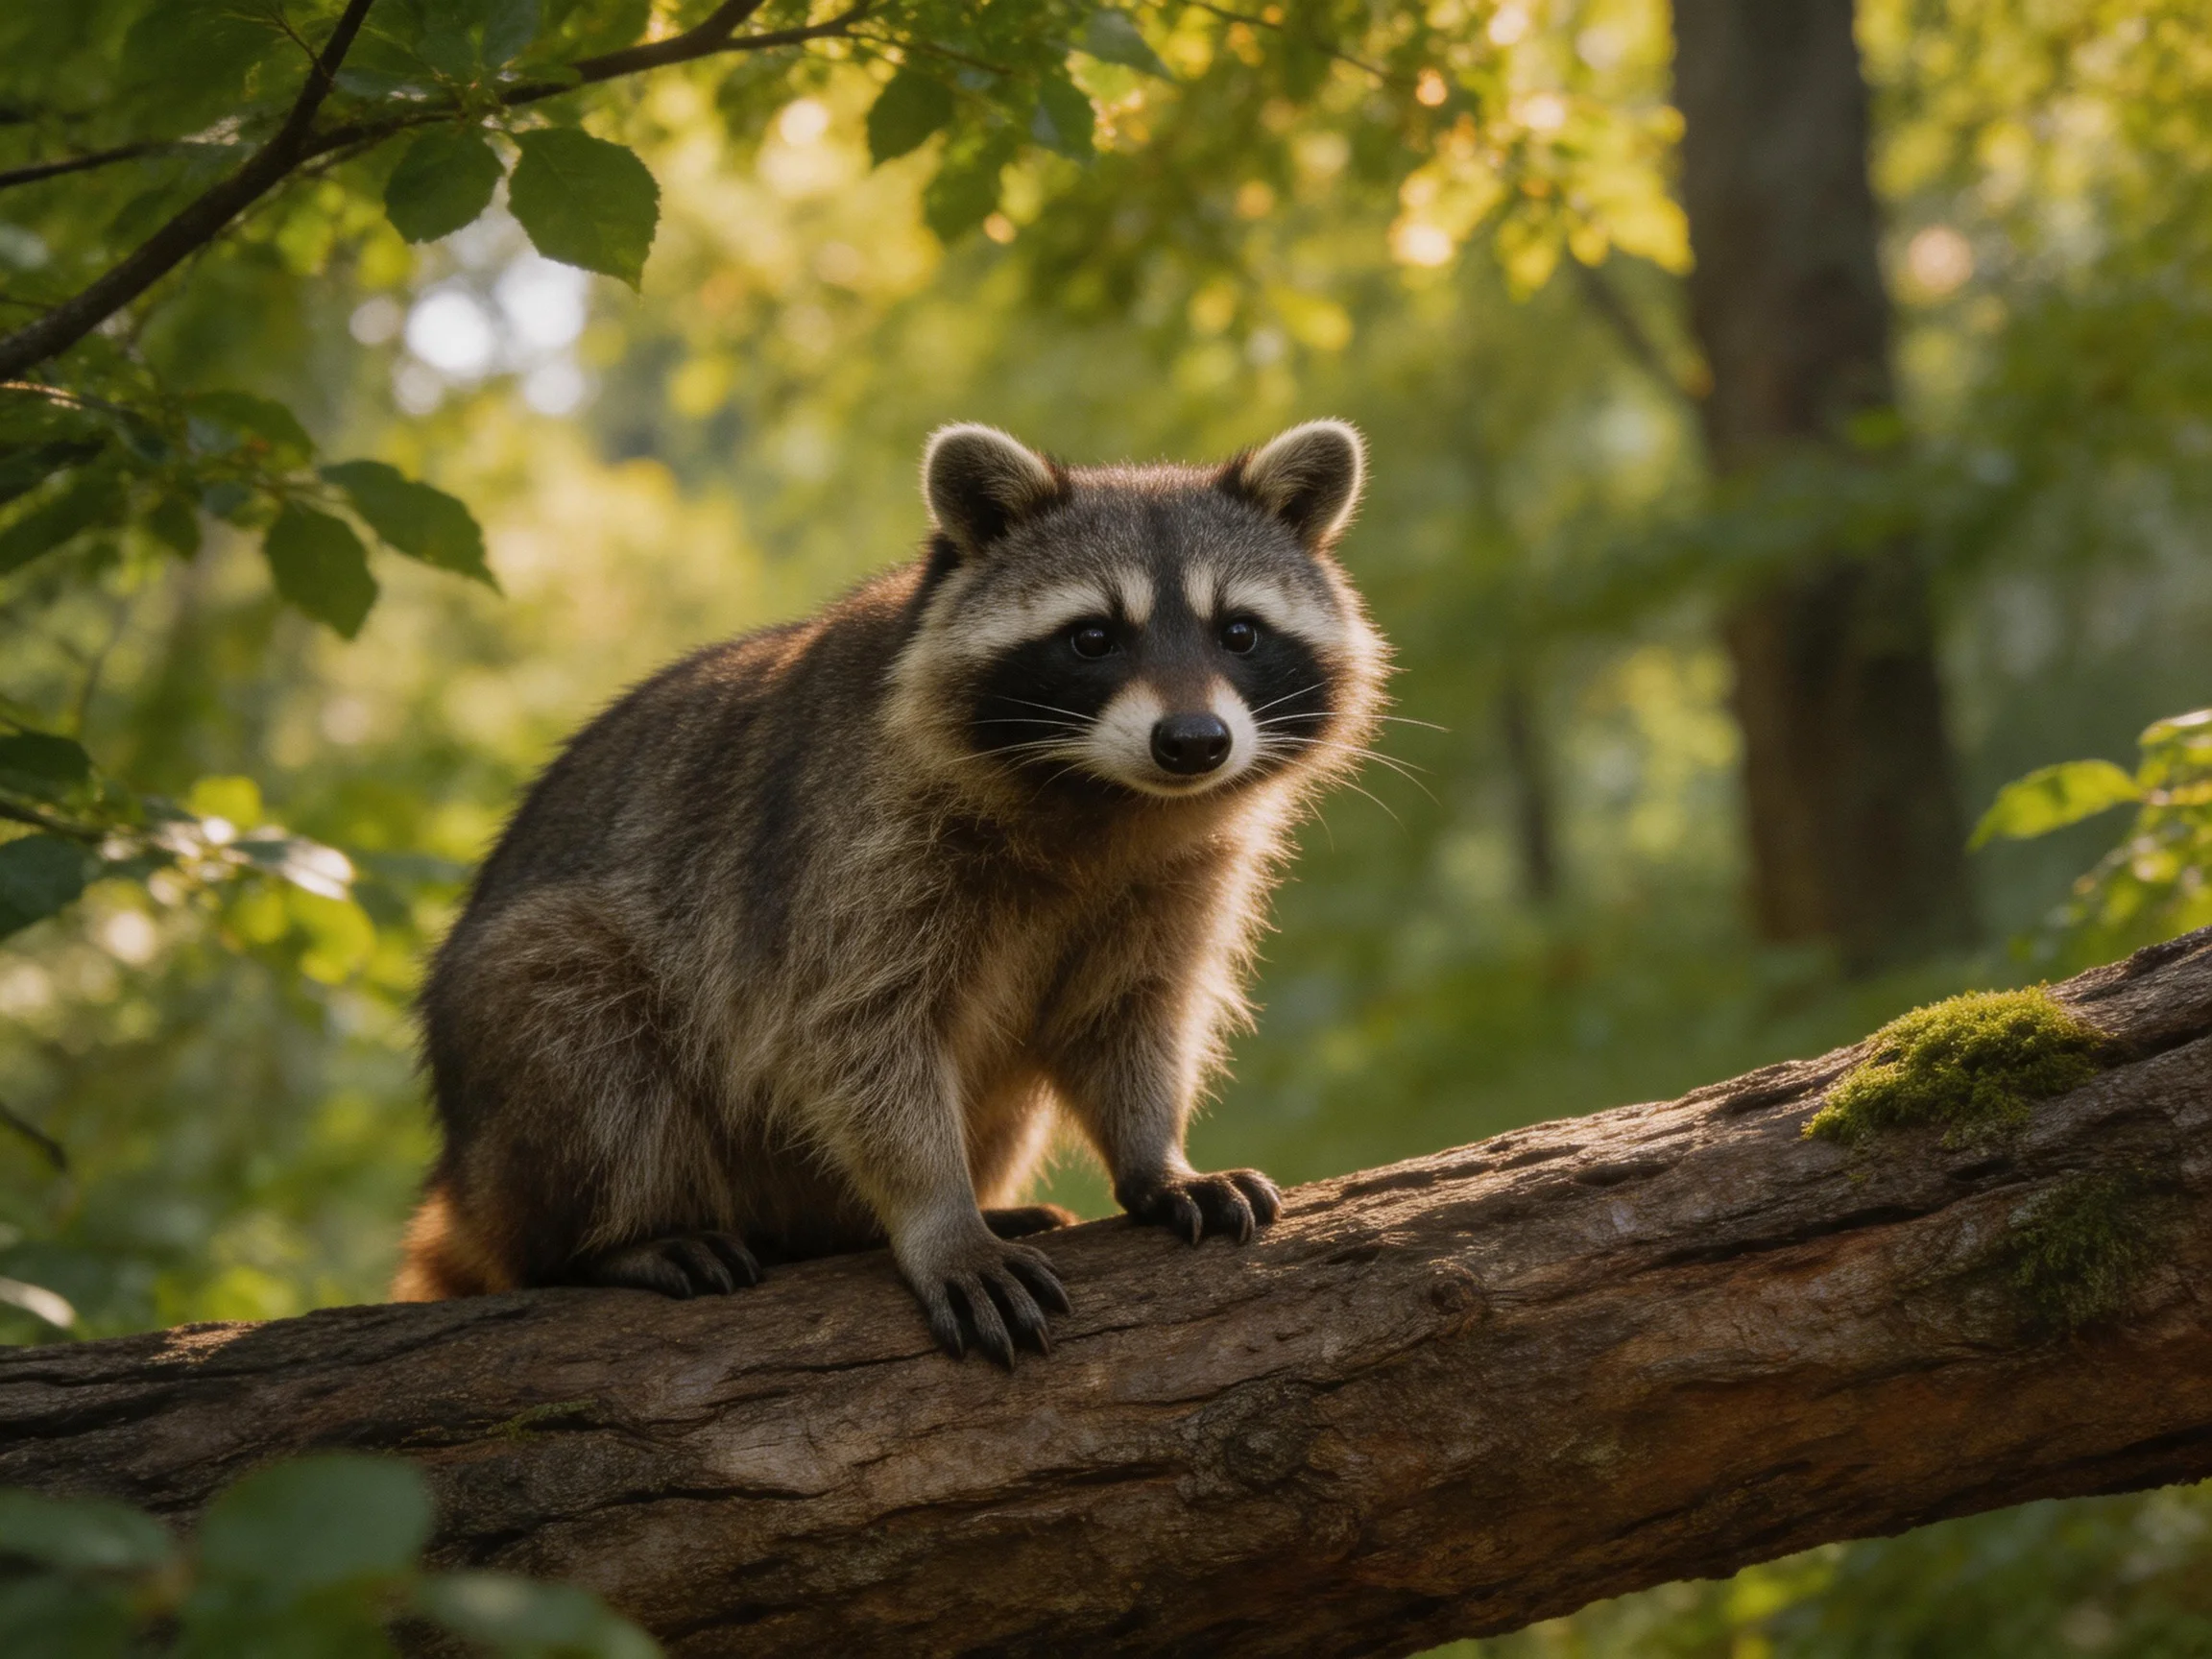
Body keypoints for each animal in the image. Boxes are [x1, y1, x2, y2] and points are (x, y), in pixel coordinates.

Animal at [395, 419, 1388, 1364]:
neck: (1108, 798)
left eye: (1239, 632)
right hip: (526, 1053)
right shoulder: (852, 853)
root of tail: (464, 1182)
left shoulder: (1182, 873)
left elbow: (1133, 1011)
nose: (1193, 742)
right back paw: (618, 1238)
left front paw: (1154, 1154)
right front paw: (939, 1218)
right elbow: (857, 1037)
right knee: (578, 1025)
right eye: (1094, 637)